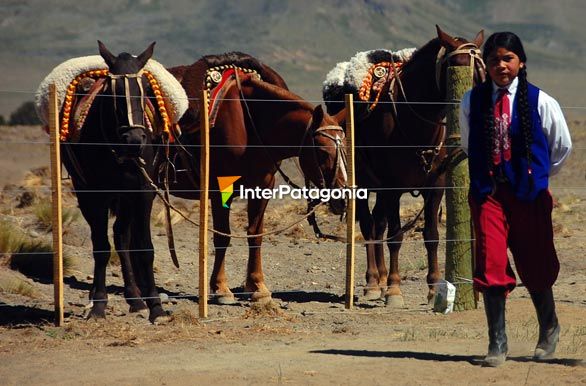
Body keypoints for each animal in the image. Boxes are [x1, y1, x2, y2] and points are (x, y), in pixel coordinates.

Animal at [61, 41, 165, 322]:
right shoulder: (95, 195)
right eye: (113, 93)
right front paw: (98, 304)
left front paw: (156, 307)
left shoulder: (142, 193)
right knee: (108, 239)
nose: (134, 139)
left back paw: (136, 299)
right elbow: (101, 248)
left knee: (121, 237)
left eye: (145, 90)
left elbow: (145, 248)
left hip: (126, 198)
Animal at [165, 52, 346, 304]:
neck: (249, 123)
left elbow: (255, 234)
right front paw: (221, 289)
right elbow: (223, 237)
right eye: (322, 151)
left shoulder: (262, 186)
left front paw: (258, 287)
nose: (343, 198)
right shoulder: (220, 190)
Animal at [322, 25, 482, 306]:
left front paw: (433, 288)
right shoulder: (393, 187)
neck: (415, 122)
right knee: (369, 226)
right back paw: (374, 283)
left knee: (378, 224)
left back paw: (381, 278)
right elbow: (395, 236)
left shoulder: (435, 187)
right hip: (364, 186)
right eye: (457, 66)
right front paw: (395, 290)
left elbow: (431, 235)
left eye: (482, 69)